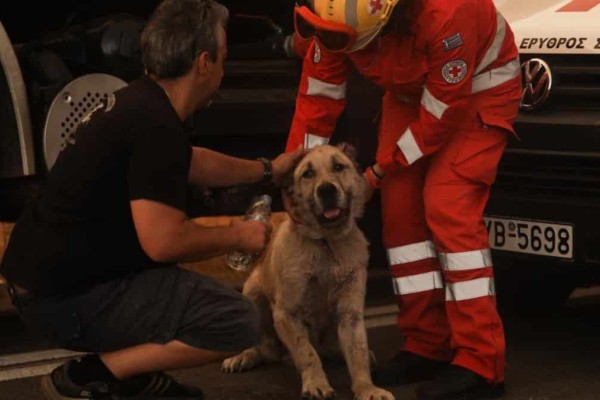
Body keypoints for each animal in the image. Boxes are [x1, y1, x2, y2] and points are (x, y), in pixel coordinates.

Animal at [220, 144, 394, 400]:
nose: (326, 190)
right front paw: (316, 384)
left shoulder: (350, 314)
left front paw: (366, 388)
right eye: (308, 173)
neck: (326, 243)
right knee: (262, 346)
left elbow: (357, 354)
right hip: (252, 293)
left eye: (338, 166)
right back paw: (244, 356)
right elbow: (307, 352)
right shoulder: (286, 315)